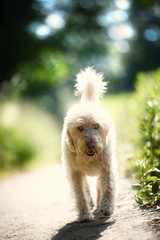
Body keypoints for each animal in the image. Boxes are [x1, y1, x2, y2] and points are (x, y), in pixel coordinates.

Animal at [61, 66, 116, 222]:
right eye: (80, 128)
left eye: (96, 126)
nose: (91, 145)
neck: (89, 158)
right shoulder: (75, 173)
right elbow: (80, 194)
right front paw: (85, 215)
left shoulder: (107, 168)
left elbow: (108, 187)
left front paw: (106, 207)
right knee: (86, 188)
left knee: (99, 185)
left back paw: (99, 202)